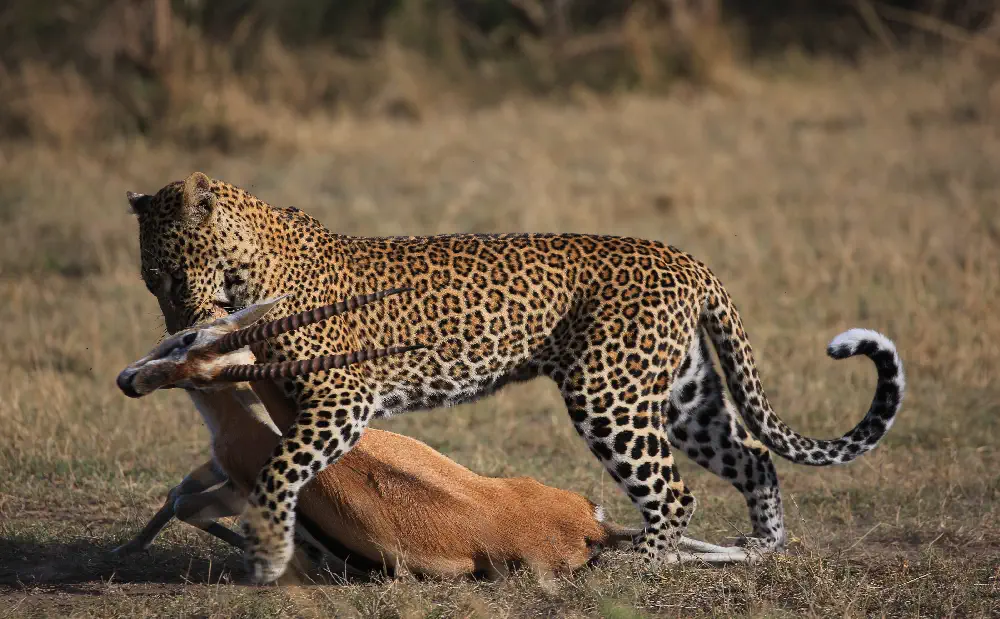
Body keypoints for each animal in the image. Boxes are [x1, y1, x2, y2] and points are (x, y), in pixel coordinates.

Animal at [125, 171, 905, 584]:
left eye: (170, 273)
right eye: (148, 280)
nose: (180, 325)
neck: (250, 262)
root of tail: (684, 257)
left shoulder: (343, 402)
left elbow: (279, 467)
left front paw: (268, 553)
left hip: (608, 394)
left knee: (675, 492)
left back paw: (638, 567)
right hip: (681, 394)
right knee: (753, 456)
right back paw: (758, 548)